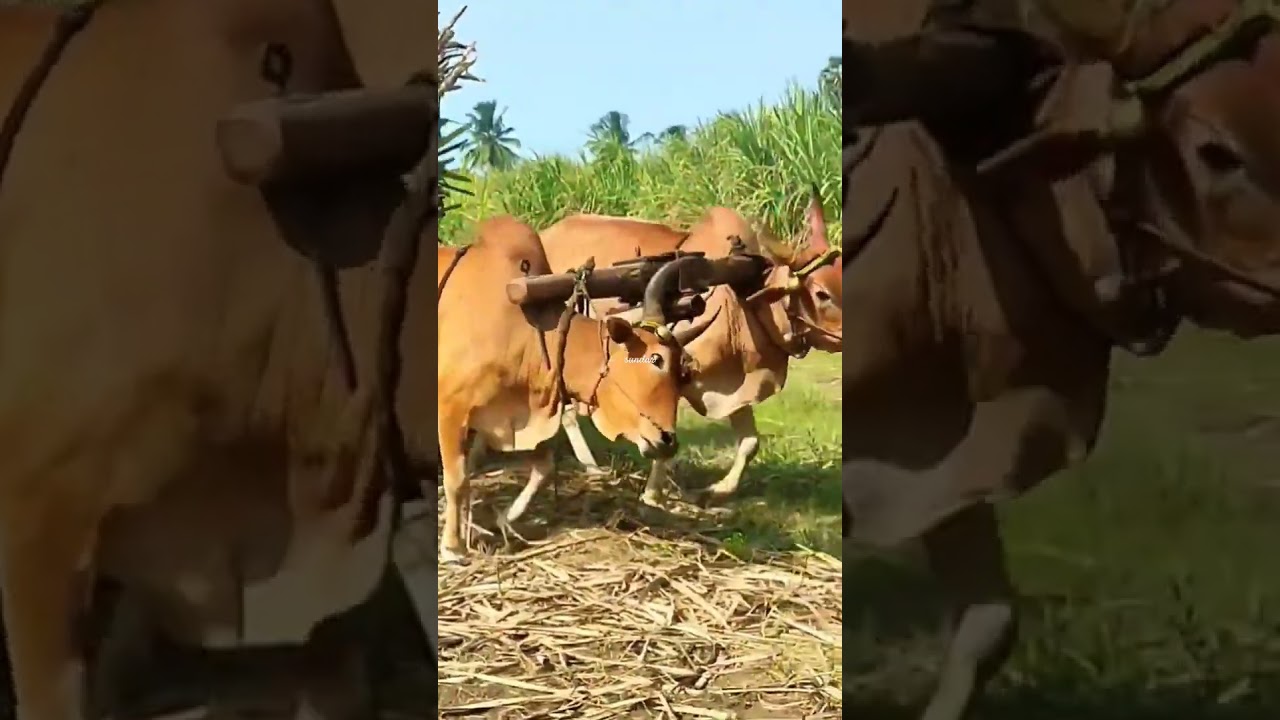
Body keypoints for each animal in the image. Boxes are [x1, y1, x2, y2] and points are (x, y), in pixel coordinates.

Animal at [437, 215, 698, 562]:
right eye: (656, 359)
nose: (668, 441)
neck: (523, 327)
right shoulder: (450, 409)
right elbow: (457, 479)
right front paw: (452, 547)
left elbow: (543, 469)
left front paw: (505, 519)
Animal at [539, 192, 841, 505]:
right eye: (822, 294)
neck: (743, 296)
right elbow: (663, 437)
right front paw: (652, 495)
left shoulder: (732, 387)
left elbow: (750, 443)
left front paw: (718, 491)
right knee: (565, 412)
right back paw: (590, 466)